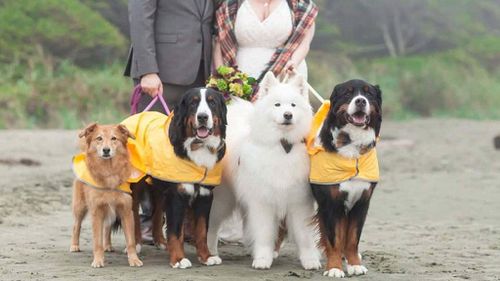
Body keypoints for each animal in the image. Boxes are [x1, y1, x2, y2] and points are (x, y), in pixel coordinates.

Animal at [69, 122, 143, 266]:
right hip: (80, 206)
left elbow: (130, 241)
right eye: (99, 138)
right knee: (76, 225)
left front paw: (134, 259)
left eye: (114, 138)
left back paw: (107, 246)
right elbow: (97, 242)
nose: (106, 150)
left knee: (107, 227)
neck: (109, 172)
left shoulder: (126, 211)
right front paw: (98, 260)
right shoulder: (97, 211)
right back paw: (74, 245)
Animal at [207, 71, 320, 270]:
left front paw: (310, 260)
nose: (288, 115)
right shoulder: (263, 202)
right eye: (277, 105)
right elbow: (265, 232)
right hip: (222, 201)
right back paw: (211, 254)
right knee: (211, 228)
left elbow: (305, 235)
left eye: (293, 105)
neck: (282, 146)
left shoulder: (300, 202)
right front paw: (262, 259)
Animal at [308, 80, 382, 276]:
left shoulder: (361, 202)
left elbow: (352, 237)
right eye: (348, 94)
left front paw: (354, 264)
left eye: (369, 94)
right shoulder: (331, 203)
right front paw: (334, 268)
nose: (361, 101)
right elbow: (334, 238)